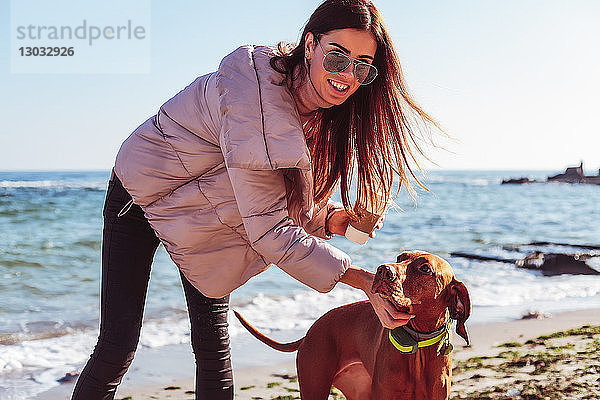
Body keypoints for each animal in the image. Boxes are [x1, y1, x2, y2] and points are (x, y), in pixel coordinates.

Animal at [232, 252, 472, 398]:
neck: (417, 342)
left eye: (424, 268)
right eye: (400, 257)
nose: (383, 270)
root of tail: (311, 330)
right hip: (315, 386)